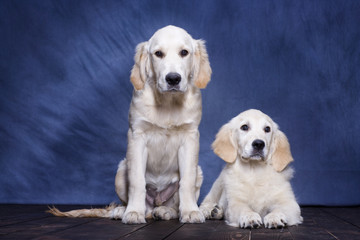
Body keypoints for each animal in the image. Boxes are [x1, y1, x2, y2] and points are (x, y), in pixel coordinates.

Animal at [47, 26, 211, 225]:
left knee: (171, 203)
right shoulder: (136, 136)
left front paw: (190, 212)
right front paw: (133, 212)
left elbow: (186, 181)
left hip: (199, 172)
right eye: (158, 54)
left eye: (184, 52)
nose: (173, 79)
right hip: (121, 170)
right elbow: (137, 181)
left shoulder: (190, 137)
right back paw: (122, 210)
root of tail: (155, 203)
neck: (167, 103)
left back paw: (165, 211)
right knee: (138, 201)